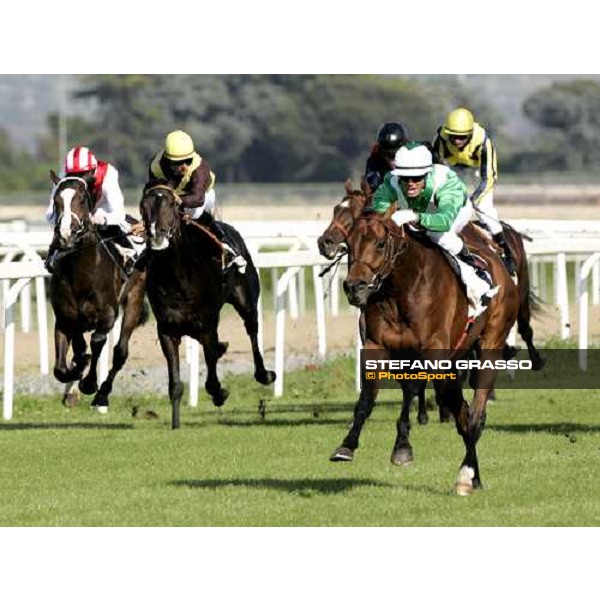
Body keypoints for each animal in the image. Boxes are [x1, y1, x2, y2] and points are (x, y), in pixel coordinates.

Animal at [139, 182, 276, 426]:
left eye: (172, 204)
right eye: (143, 206)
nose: (156, 237)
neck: (179, 278)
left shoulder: (207, 323)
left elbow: (211, 371)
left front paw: (220, 393)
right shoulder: (167, 329)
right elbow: (175, 385)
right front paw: (175, 424)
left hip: (246, 298)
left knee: (252, 328)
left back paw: (264, 373)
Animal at [332, 209, 520, 494]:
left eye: (380, 243)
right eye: (349, 244)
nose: (355, 287)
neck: (400, 290)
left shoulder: (431, 349)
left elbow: (417, 392)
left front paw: (402, 448)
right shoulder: (378, 347)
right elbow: (367, 399)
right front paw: (347, 445)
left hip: (491, 342)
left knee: (475, 413)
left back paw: (466, 474)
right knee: (462, 412)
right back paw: (474, 476)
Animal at [432, 108, 516, 276]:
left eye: (461, 137)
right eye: (454, 137)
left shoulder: (485, 148)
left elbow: (487, 176)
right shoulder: (439, 143)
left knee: (486, 208)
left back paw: (508, 259)